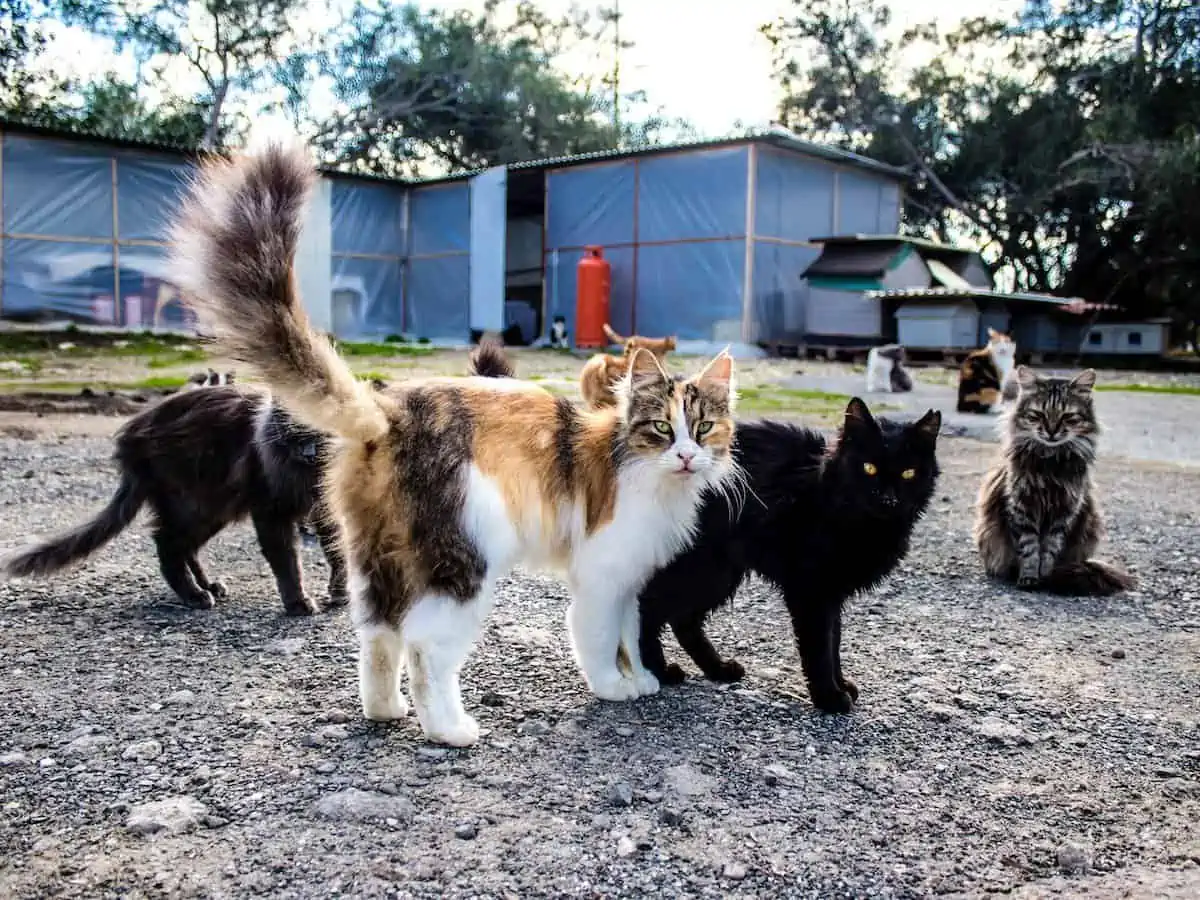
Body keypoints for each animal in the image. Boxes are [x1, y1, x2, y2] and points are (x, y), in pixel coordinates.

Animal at [1, 384, 348, 619]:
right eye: (295, 425)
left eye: (320, 426)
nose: (308, 449)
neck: (308, 473)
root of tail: (131, 436)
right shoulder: (270, 511)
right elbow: (287, 562)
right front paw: (298, 602)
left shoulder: (327, 512)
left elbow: (337, 553)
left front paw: (339, 593)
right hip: (193, 502)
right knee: (166, 544)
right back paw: (194, 596)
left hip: (212, 507)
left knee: (185, 547)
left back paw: (208, 587)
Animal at [164, 142, 734, 748]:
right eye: (662, 430)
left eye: (703, 429)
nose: (686, 456)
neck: (647, 474)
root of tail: (389, 410)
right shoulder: (603, 573)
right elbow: (601, 639)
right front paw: (612, 688)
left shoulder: (630, 578)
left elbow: (631, 634)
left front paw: (642, 678)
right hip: (462, 561)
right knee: (426, 650)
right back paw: (448, 728)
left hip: (378, 561)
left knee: (378, 637)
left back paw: (384, 710)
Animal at [633, 398, 940, 715]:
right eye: (869, 468)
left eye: (909, 473)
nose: (889, 499)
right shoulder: (811, 591)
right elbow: (819, 647)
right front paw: (829, 696)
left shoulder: (832, 592)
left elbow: (834, 641)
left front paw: (840, 684)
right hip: (699, 565)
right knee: (648, 607)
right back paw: (657, 671)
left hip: (719, 572)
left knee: (684, 619)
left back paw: (718, 669)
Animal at [974, 367, 1132, 600]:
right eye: (1039, 415)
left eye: (1067, 417)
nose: (1051, 431)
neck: (1050, 463)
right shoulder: (1021, 506)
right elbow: (1029, 548)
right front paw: (1029, 578)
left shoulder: (1065, 511)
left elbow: (1049, 549)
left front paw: (1047, 577)